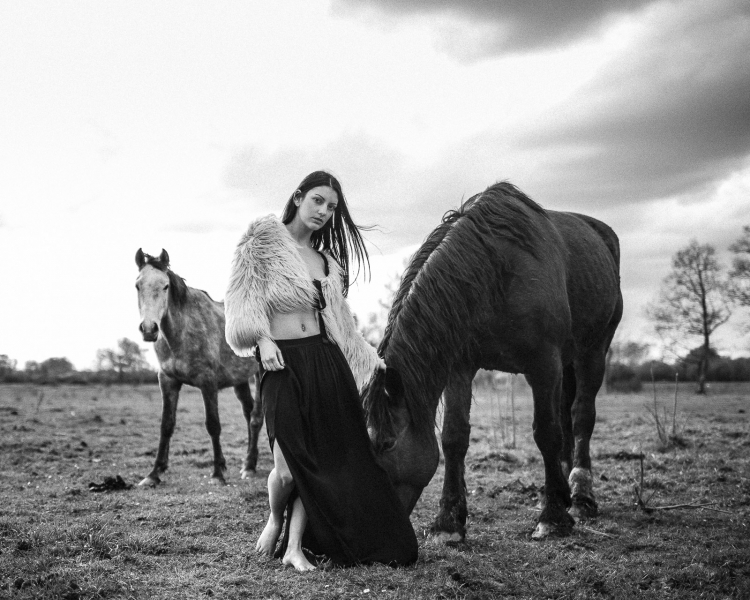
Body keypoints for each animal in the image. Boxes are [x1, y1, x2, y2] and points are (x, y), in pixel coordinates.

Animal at [136, 248, 264, 488]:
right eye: (137, 285)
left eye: (165, 286)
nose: (149, 329)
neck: (180, 335)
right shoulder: (167, 381)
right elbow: (166, 425)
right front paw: (154, 473)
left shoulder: (208, 383)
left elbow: (213, 424)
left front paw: (217, 473)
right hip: (240, 379)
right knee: (248, 411)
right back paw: (247, 464)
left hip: (261, 374)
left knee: (256, 417)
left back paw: (250, 467)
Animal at [364, 182, 624, 540]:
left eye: (387, 444)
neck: (495, 274)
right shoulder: (460, 368)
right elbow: (454, 437)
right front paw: (448, 522)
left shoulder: (544, 365)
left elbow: (546, 433)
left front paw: (552, 517)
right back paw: (565, 489)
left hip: (593, 352)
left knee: (581, 416)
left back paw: (581, 495)